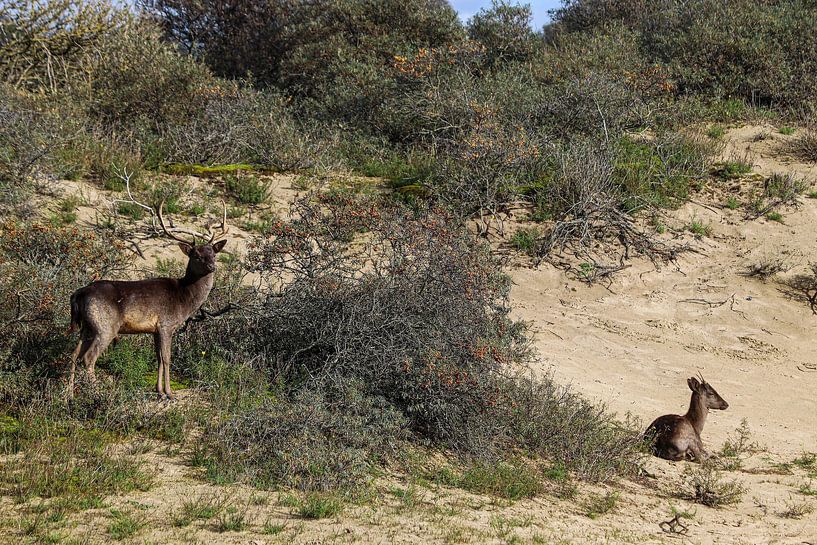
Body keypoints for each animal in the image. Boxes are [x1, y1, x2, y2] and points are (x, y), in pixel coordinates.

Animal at [67, 201, 228, 400]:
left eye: (214, 254)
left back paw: (68, 395)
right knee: (88, 358)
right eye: (196, 256)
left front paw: (159, 391)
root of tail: (79, 293)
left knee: (74, 355)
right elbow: (166, 358)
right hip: (106, 326)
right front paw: (170, 393)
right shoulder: (166, 324)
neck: (184, 298)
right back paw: (97, 394)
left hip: (86, 326)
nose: (212, 266)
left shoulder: (154, 330)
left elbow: (158, 358)